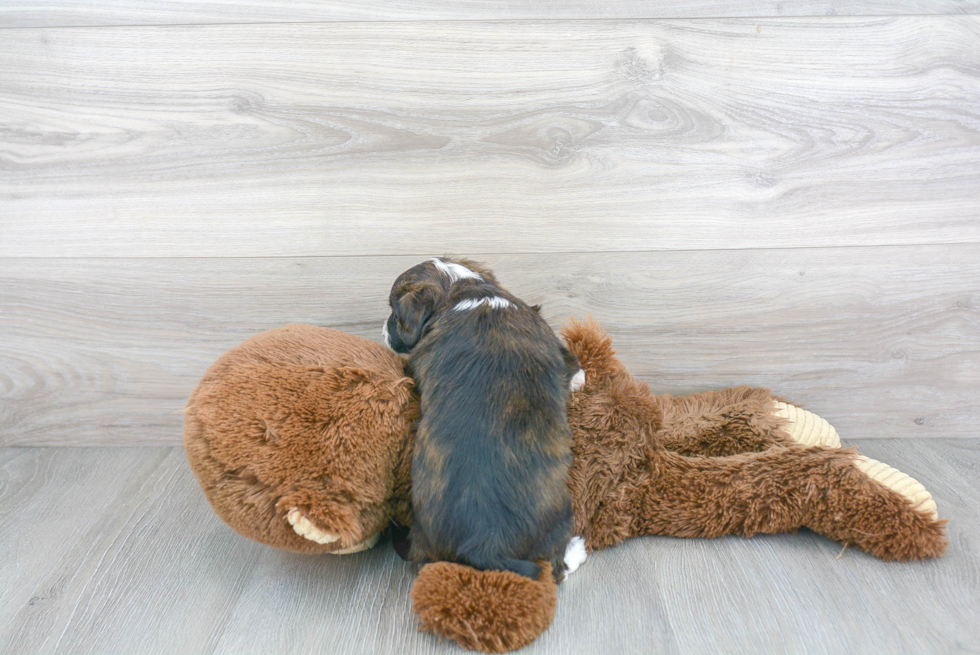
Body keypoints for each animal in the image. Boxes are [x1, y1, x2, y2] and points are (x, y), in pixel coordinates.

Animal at [380, 258, 580, 580]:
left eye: (394, 315)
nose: (383, 331)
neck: (461, 292)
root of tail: (484, 546)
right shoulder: (560, 351)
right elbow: (574, 363)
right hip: (560, 513)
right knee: (554, 565)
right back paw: (576, 551)